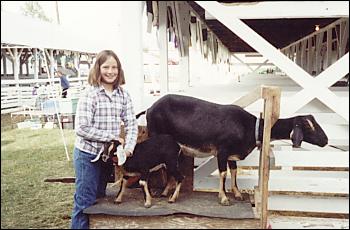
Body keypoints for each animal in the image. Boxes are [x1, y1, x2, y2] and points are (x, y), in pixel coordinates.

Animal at [137, 94, 328, 206]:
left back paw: (167, 190)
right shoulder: (222, 150)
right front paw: (223, 198)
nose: (326, 140)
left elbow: (234, 171)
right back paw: (164, 192)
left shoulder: (232, 154)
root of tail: (149, 108)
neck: (251, 127)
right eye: (309, 126)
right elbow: (223, 173)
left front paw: (237, 194)